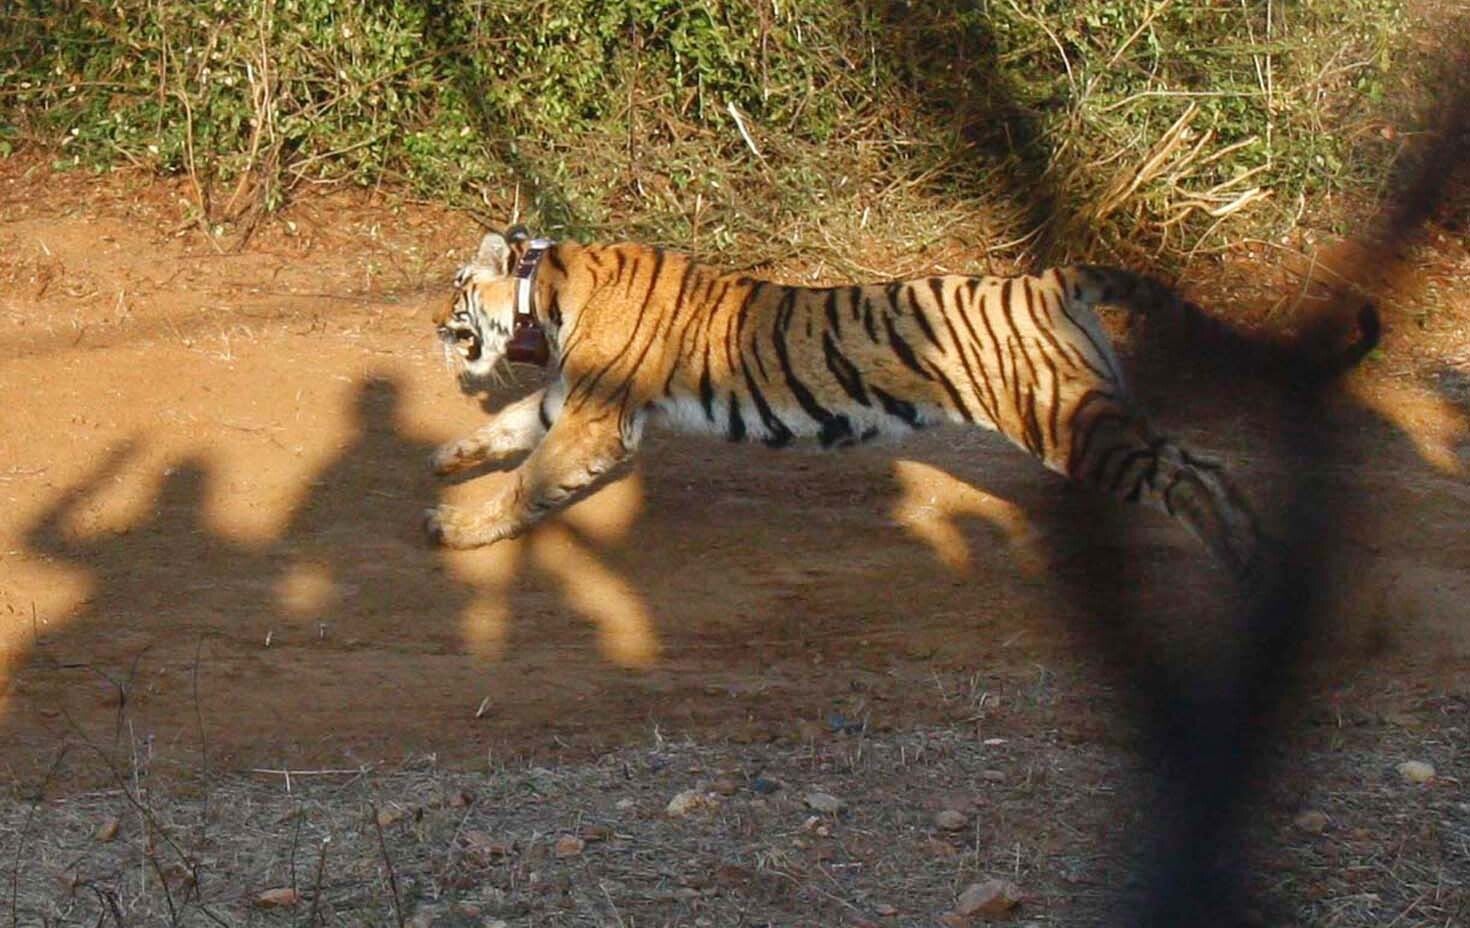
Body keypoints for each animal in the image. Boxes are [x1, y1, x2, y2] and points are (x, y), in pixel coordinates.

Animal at [429, 229, 1375, 576]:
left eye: (457, 290)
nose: (437, 327)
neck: (544, 290)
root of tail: (1049, 279)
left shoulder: (596, 419)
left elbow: (529, 478)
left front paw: (461, 529)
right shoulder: (571, 399)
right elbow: (511, 430)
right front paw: (447, 460)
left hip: (1067, 426)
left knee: (1178, 477)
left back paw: (1240, 561)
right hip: (1099, 408)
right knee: (1201, 459)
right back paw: (1258, 546)